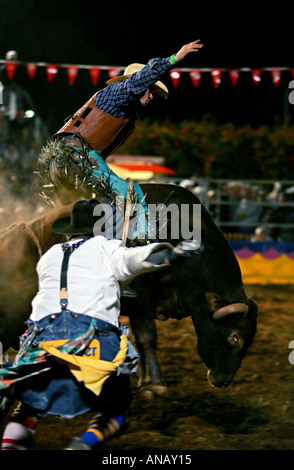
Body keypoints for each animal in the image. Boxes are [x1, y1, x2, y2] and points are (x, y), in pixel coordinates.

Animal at [0, 184, 258, 392]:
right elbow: (147, 336)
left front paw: (144, 380)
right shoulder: (141, 298)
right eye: (235, 338)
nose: (223, 380)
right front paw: (157, 383)